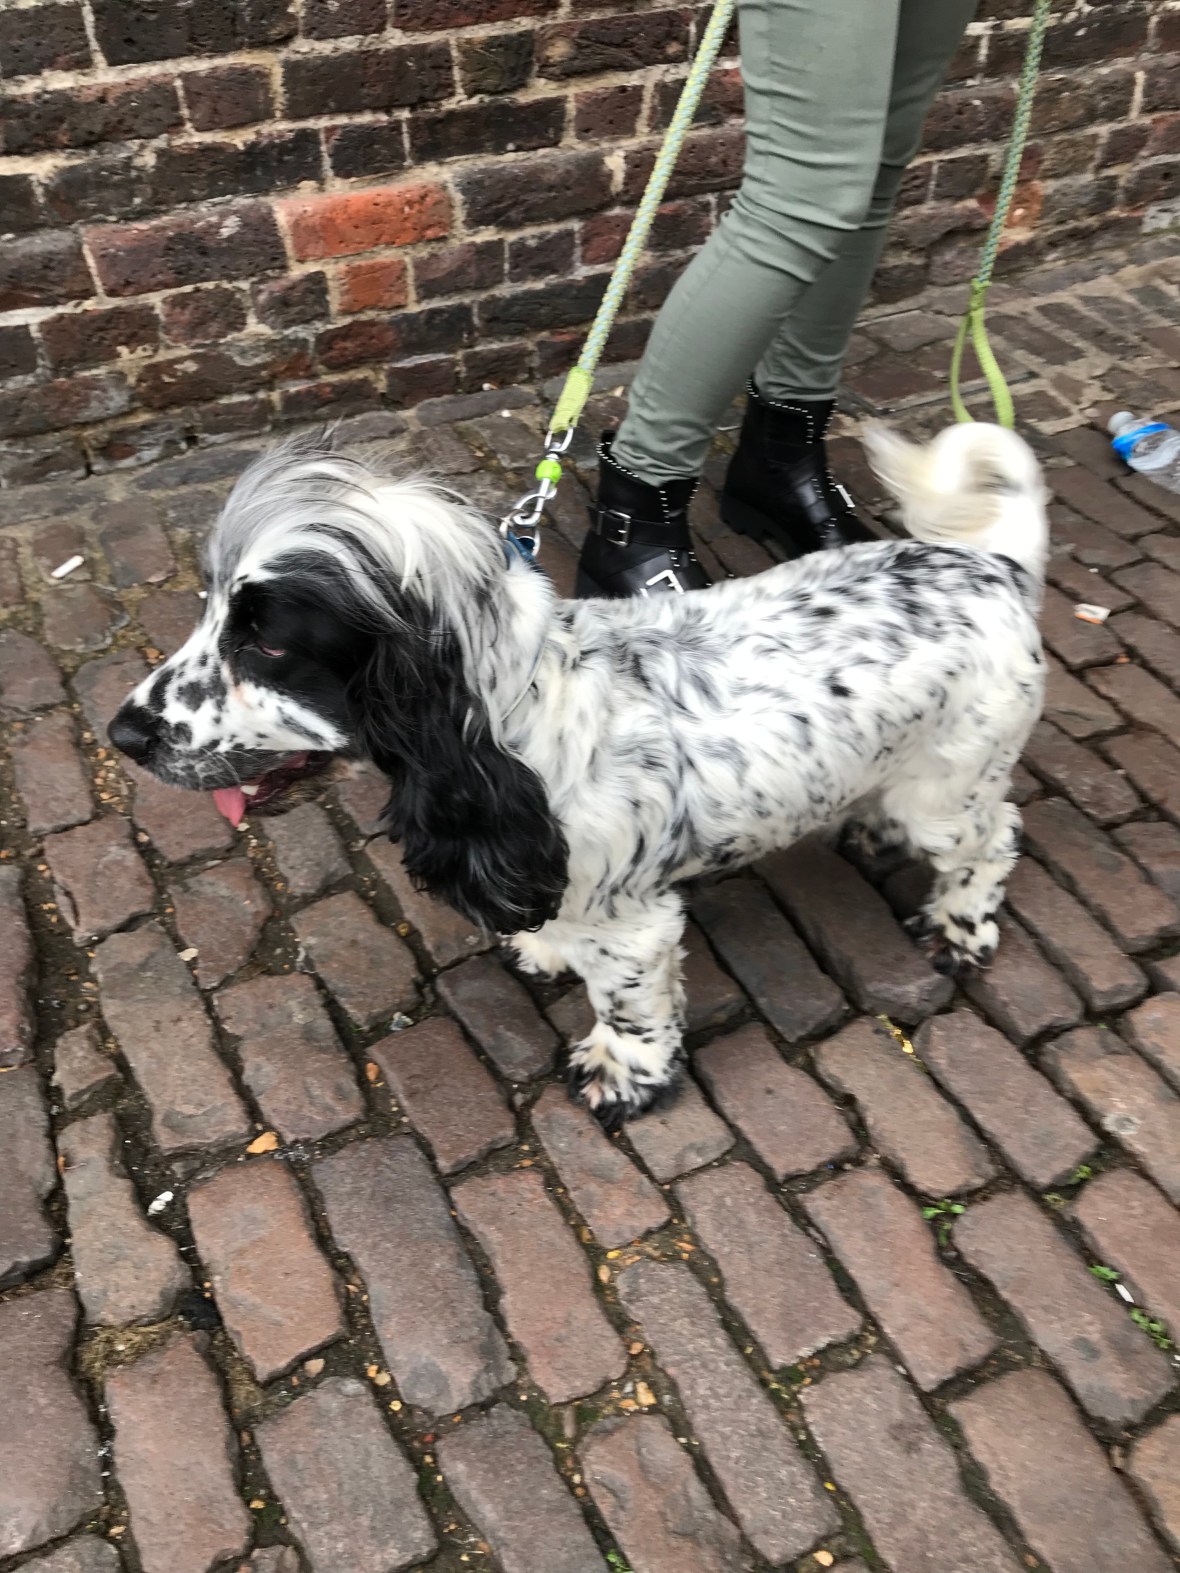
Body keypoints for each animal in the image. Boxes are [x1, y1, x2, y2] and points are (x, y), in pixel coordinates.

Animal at [109, 421, 1047, 1125]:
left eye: (268, 642)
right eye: (208, 609)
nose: (123, 733)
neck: (511, 719)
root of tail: (996, 566)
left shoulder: (635, 925)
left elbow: (630, 1005)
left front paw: (621, 1075)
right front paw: (545, 948)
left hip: (951, 790)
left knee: (997, 835)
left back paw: (960, 924)